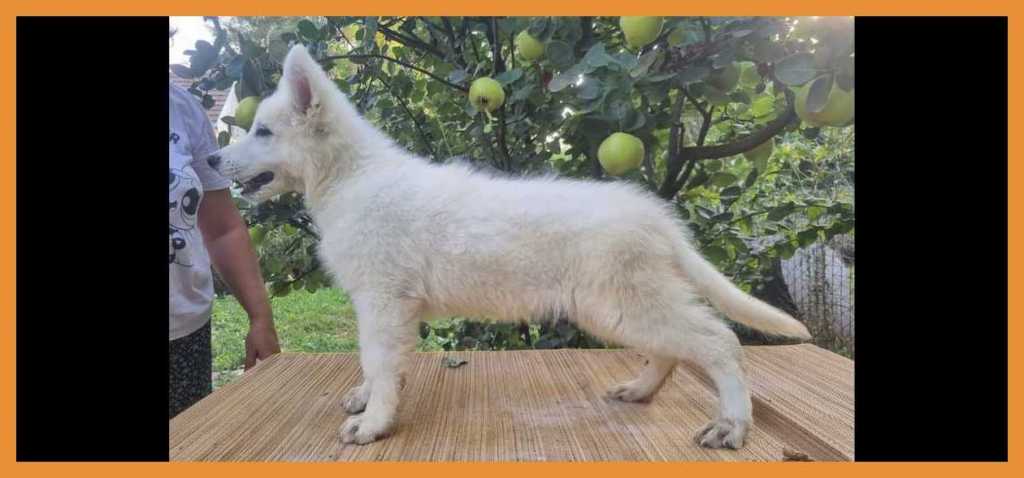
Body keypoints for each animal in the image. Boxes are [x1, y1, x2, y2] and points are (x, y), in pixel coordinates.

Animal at [207, 44, 811, 448]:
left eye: (262, 132)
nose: (210, 160)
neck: (350, 178)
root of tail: (656, 217)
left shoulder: (382, 300)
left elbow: (378, 359)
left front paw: (373, 422)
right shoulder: (381, 305)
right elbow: (376, 364)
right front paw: (366, 397)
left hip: (620, 302)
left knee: (717, 342)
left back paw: (732, 423)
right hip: (623, 305)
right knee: (671, 348)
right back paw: (641, 390)